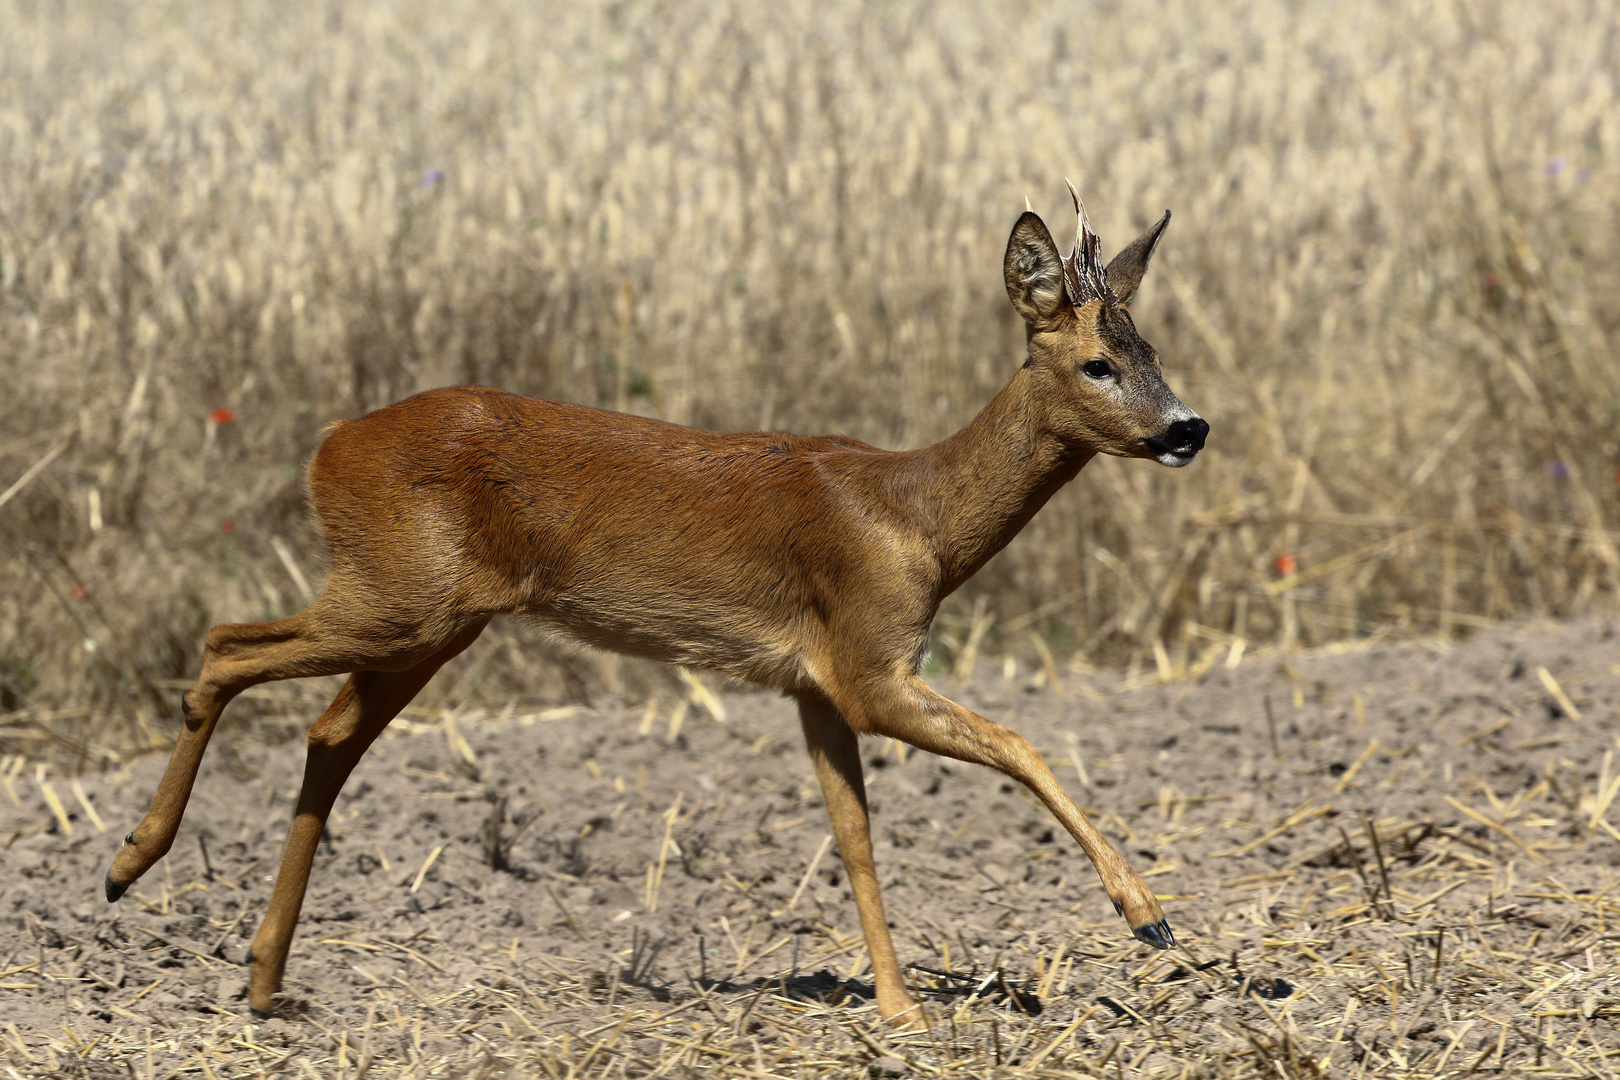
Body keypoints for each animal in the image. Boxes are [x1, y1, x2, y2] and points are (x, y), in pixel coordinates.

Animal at [107, 183, 1211, 1023]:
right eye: (1097, 363)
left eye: (1155, 351)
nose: (1188, 428)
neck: (917, 517)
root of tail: (327, 448)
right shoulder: (868, 665)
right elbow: (1019, 745)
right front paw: (1148, 915)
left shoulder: (814, 684)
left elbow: (854, 835)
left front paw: (898, 1008)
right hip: (398, 596)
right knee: (225, 645)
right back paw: (129, 863)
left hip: (429, 620)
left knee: (326, 734)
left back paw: (261, 980)